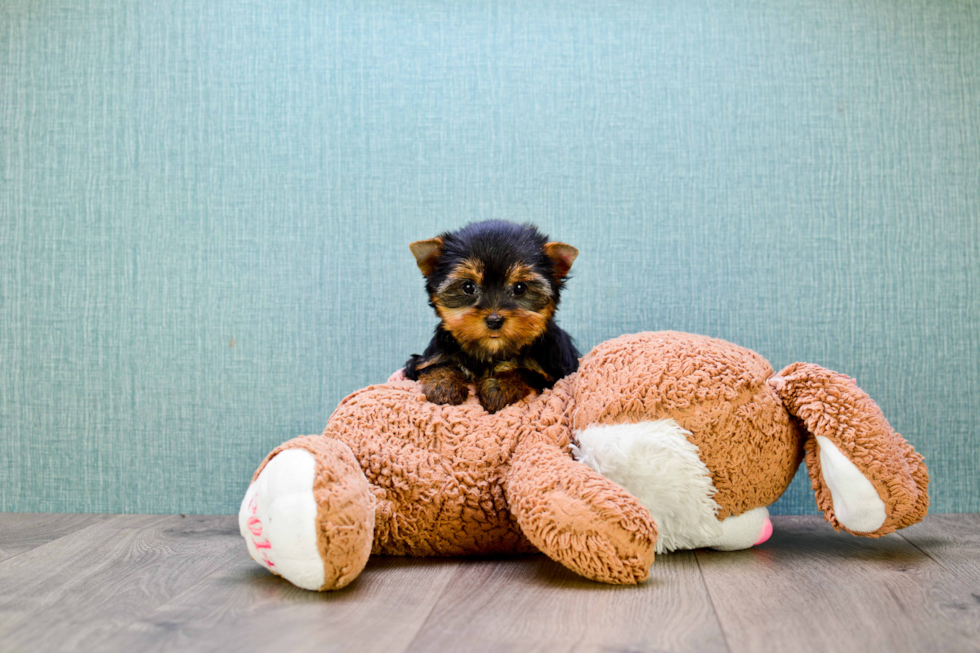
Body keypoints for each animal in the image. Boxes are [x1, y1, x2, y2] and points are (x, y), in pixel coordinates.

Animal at [402, 219, 580, 412]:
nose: (494, 320)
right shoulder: (425, 360)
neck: (491, 352)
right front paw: (443, 385)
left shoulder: (551, 374)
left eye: (520, 288)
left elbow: (521, 372)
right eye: (468, 287)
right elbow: (439, 365)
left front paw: (498, 387)